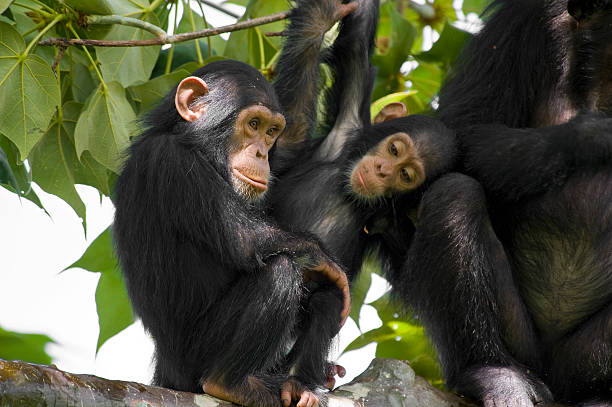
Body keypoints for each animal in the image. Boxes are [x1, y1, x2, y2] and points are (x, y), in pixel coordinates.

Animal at [113, 1, 358, 406]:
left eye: (271, 131)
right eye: (253, 123)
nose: (260, 152)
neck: (196, 145)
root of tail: (164, 372)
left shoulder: (277, 161)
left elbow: (292, 145)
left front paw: (319, 19)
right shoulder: (173, 163)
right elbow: (243, 240)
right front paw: (327, 261)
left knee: (321, 298)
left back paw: (300, 384)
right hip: (195, 361)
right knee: (280, 271)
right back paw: (230, 383)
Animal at [270, 0, 456, 280]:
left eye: (405, 175)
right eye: (393, 150)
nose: (382, 171)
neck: (349, 194)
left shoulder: (396, 226)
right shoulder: (348, 119)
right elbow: (357, 40)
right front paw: (323, 16)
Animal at [392, 0, 612, 406]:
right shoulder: (525, 20)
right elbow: (464, 130)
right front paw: (592, 135)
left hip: (588, 358)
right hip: (524, 344)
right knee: (454, 196)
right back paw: (493, 373)